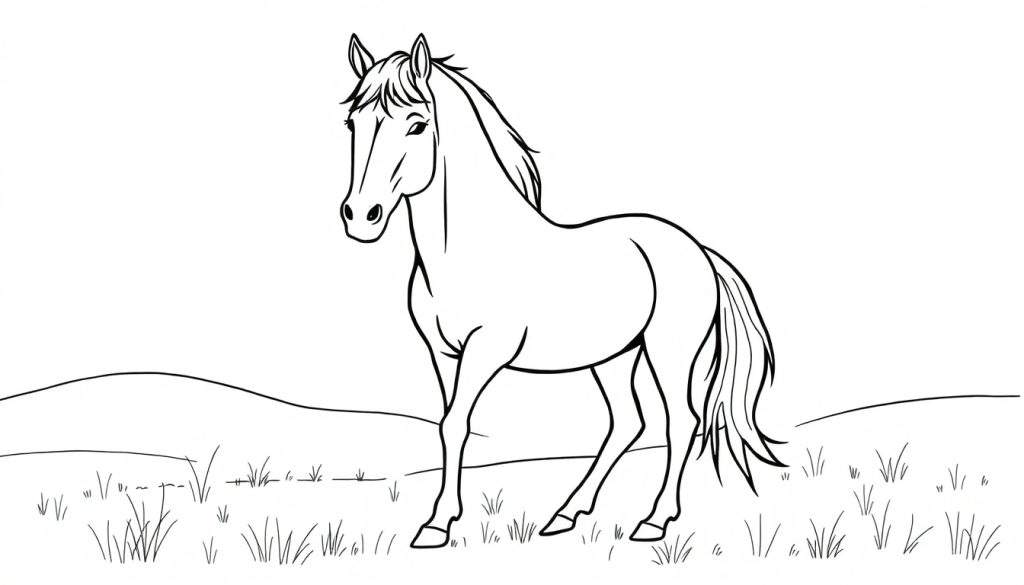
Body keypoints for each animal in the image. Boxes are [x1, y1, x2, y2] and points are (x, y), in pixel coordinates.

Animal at [340, 34, 783, 548]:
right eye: (352, 123)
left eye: (416, 124)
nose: (360, 216)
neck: (466, 249)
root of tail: (697, 249)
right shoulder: (443, 353)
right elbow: (449, 425)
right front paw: (439, 520)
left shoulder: (486, 350)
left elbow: (457, 423)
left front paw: (436, 524)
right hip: (615, 356)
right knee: (628, 422)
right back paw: (565, 514)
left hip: (668, 351)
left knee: (681, 421)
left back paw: (653, 521)